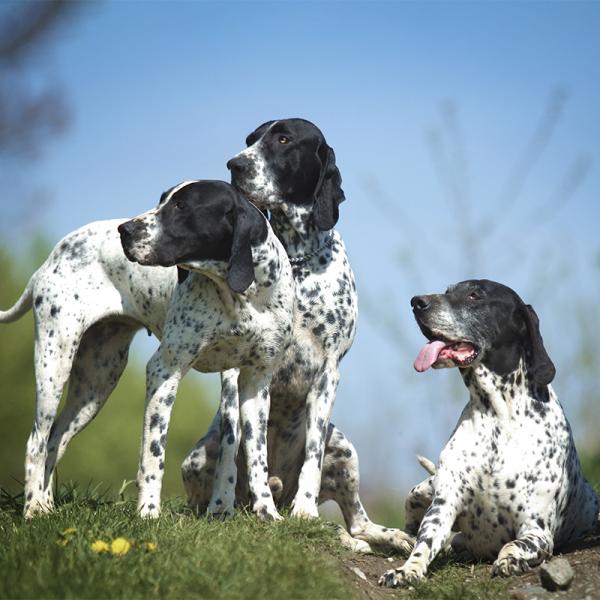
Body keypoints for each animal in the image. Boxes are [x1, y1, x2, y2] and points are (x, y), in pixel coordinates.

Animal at [118, 180, 296, 516]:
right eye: (162, 200)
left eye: (182, 206)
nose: (124, 230)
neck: (240, 295)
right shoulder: (164, 370)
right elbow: (153, 452)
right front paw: (148, 512)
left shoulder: (256, 382)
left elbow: (257, 455)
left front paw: (267, 511)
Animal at [380, 280, 600, 584]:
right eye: (447, 291)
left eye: (475, 295)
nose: (417, 302)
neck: (498, 414)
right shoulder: (441, 509)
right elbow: (424, 543)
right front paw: (407, 570)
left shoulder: (537, 530)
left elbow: (513, 544)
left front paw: (509, 561)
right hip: (421, 491)